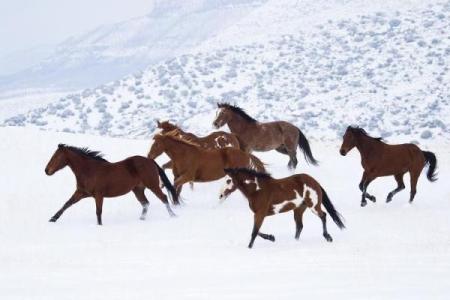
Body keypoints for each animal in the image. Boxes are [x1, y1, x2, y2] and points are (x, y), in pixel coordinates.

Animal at [44, 144, 178, 225]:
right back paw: (141, 219)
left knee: (163, 198)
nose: (46, 170)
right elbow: (67, 204)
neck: (89, 170)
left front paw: (100, 225)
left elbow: (98, 212)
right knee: (145, 203)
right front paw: (52, 219)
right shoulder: (81, 193)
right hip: (138, 189)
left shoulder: (98, 195)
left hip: (152, 185)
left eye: (56, 157)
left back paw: (173, 216)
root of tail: (150, 161)